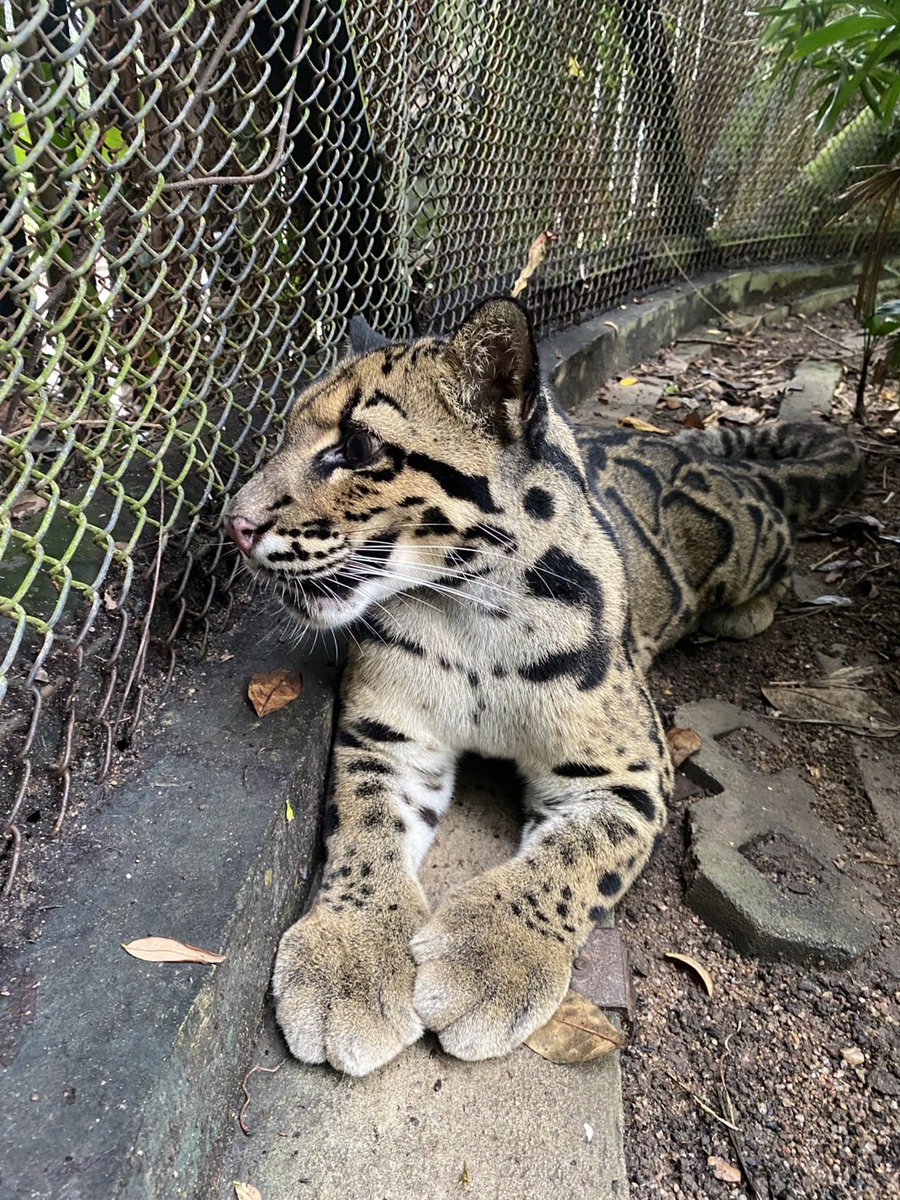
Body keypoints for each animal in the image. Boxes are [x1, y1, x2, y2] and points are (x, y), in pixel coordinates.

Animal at [224, 297, 862, 1077]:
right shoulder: (386, 737)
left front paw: (491, 957)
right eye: (285, 433)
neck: (475, 613)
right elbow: (365, 830)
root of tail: (696, 451)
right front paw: (352, 956)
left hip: (745, 543)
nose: (235, 522)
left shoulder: (629, 771)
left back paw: (749, 611)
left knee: (781, 545)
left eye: (360, 447)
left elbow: (576, 858)